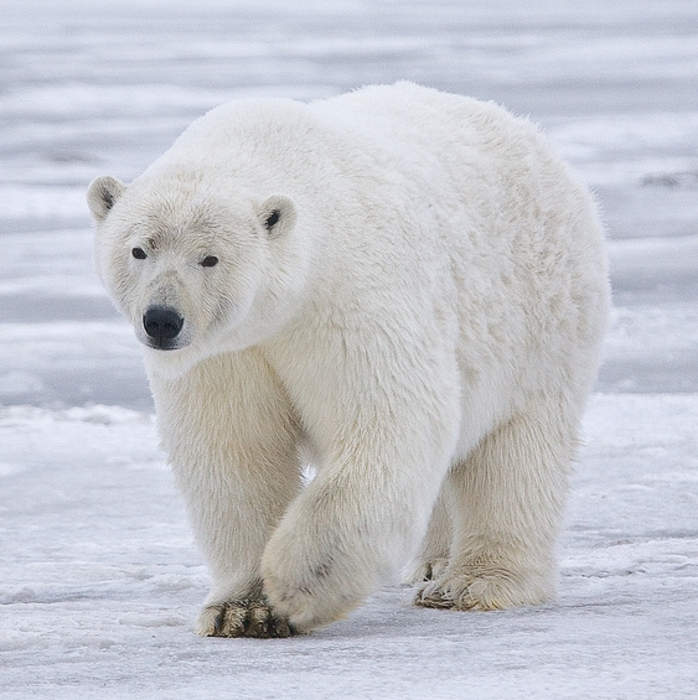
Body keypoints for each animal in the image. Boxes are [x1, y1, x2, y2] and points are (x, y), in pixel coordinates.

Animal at [88, 80, 608, 636]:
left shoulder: (348, 299)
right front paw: (242, 609)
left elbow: (389, 420)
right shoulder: (226, 354)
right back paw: (432, 562)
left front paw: (296, 585)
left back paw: (473, 583)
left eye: (210, 258)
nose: (162, 320)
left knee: (515, 455)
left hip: (540, 321)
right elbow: (235, 451)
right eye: (139, 249)